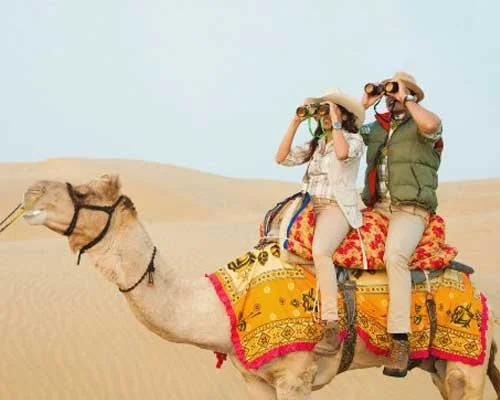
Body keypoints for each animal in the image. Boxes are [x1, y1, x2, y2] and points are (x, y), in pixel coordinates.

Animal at [18, 175, 500, 400]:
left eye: (82, 191)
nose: (32, 190)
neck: (222, 306)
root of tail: (478, 292)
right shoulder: (254, 380)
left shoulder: (295, 377)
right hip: (439, 366)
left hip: (468, 365)